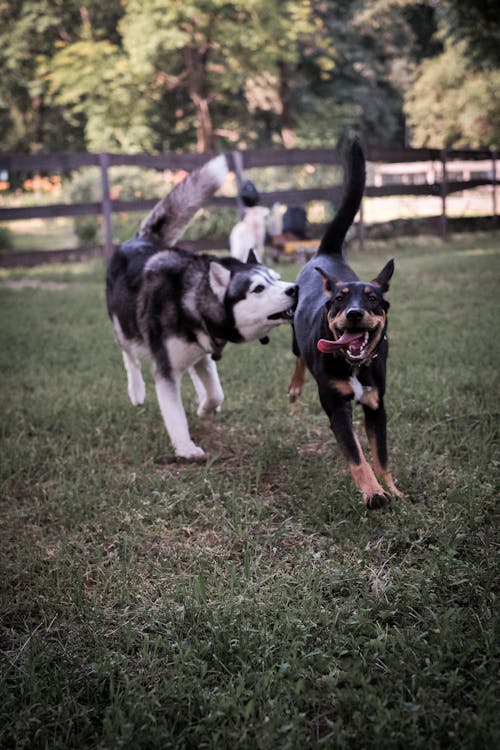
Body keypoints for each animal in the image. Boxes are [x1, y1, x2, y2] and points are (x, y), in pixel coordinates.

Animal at [106, 156, 296, 462]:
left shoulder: (203, 350)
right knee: (130, 358)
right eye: (258, 289)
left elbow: (216, 391)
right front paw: (185, 448)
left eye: (276, 278)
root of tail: (139, 239)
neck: (189, 301)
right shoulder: (166, 370)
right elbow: (175, 414)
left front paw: (206, 407)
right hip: (124, 329)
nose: (295, 289)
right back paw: (136, 391)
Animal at [290, 140, 402, 512]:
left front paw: (392, 489)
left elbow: (381, 455)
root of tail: (328, 255)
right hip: (295, 333)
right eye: (340, 299)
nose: (353, 313)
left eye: (372, 299)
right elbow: (357, 457)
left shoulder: (376, 406)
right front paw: (373, 493)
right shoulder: (336, 406)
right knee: (298, 356)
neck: (353, 365)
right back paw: (295, 386)